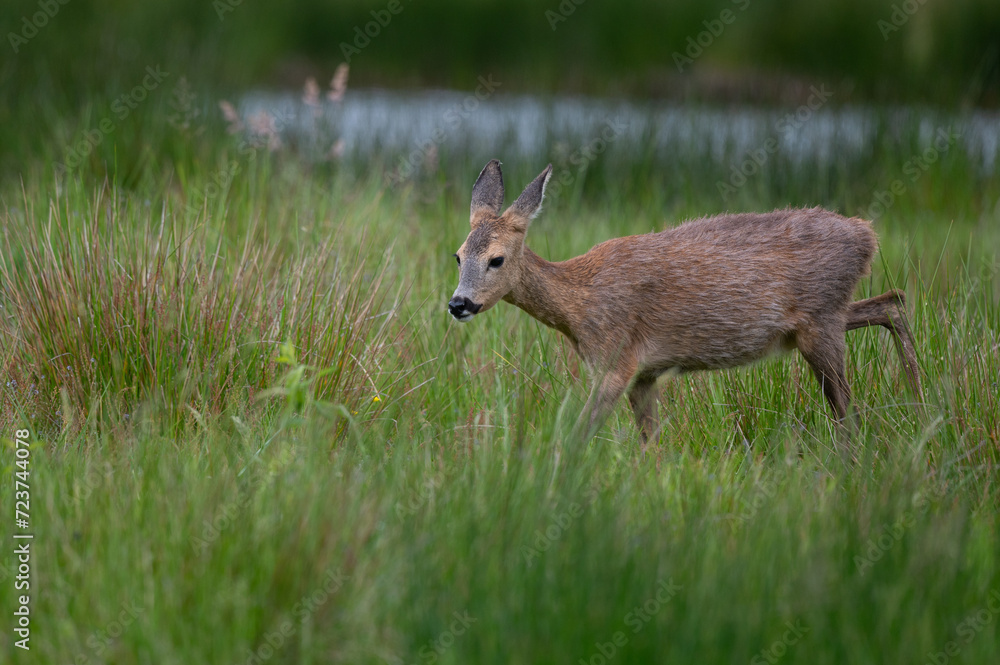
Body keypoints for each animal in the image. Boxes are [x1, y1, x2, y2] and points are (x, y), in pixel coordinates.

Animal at [448, 160, 922, 445]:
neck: (578, 305)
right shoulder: (644, 374)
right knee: (893, 302)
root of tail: (868, 235)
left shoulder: (616, 360)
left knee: (848, 408)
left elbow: (578, 433)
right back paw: (922, 404)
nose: (458, 304)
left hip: (820, 322)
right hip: (827, 316)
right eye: (457, 255)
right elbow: (651, 444)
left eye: (496, 259)